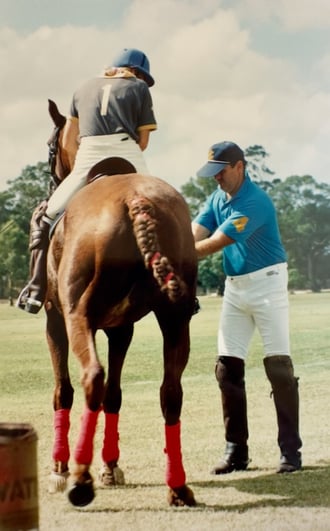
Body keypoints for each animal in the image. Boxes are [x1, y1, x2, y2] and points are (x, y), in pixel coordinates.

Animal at [43, 97, 199, 510]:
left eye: (50, 147)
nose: (52, 177)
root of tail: (136, 200)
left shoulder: (54, 317)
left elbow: (64, 389)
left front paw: (59, 469)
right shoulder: (121, 327)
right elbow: (115, 394)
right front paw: (111, 466)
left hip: (76, 314)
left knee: (91, 377)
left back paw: (79, 480)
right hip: (175, 315)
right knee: (170, 391)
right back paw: (178, 486)